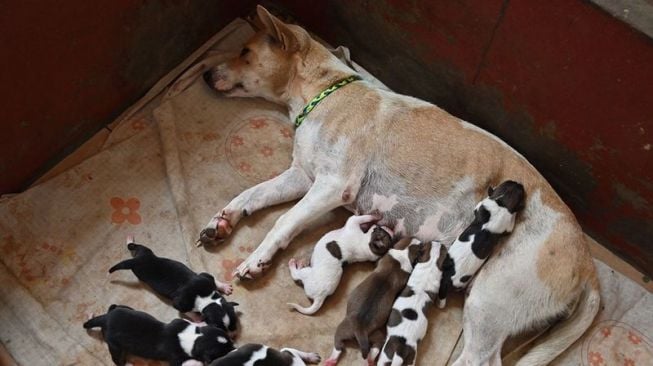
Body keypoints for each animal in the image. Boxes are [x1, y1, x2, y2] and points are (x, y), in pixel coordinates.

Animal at [83, 304, 233, 366]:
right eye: (223, 351)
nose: (234, 347)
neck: (193, 338)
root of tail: (105, 319)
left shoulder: (179, 322)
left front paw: (201, 323)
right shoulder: (175, 359)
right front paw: (197, 362)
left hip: (122, 309)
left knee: (113, 306)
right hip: (114, 346)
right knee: (116, 360)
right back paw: (127, 364)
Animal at [109, 236, 239, 336]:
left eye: (234, 323)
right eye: (219, 328)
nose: (232, 336)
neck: (206, 298)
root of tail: (137, 260)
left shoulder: (205, 277)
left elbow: (214, 280)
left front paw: (224, 287)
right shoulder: (179, 303)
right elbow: (189, 312)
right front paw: (197, 318)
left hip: (145, 251)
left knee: (134, 246)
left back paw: (130, 239)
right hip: (137, 270)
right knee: (131, 248)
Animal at [322, 237, 422, 366]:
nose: (420, 240)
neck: (405, 251)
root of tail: (361, 329)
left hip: (353, 330)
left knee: (339, 345)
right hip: (366, 333)